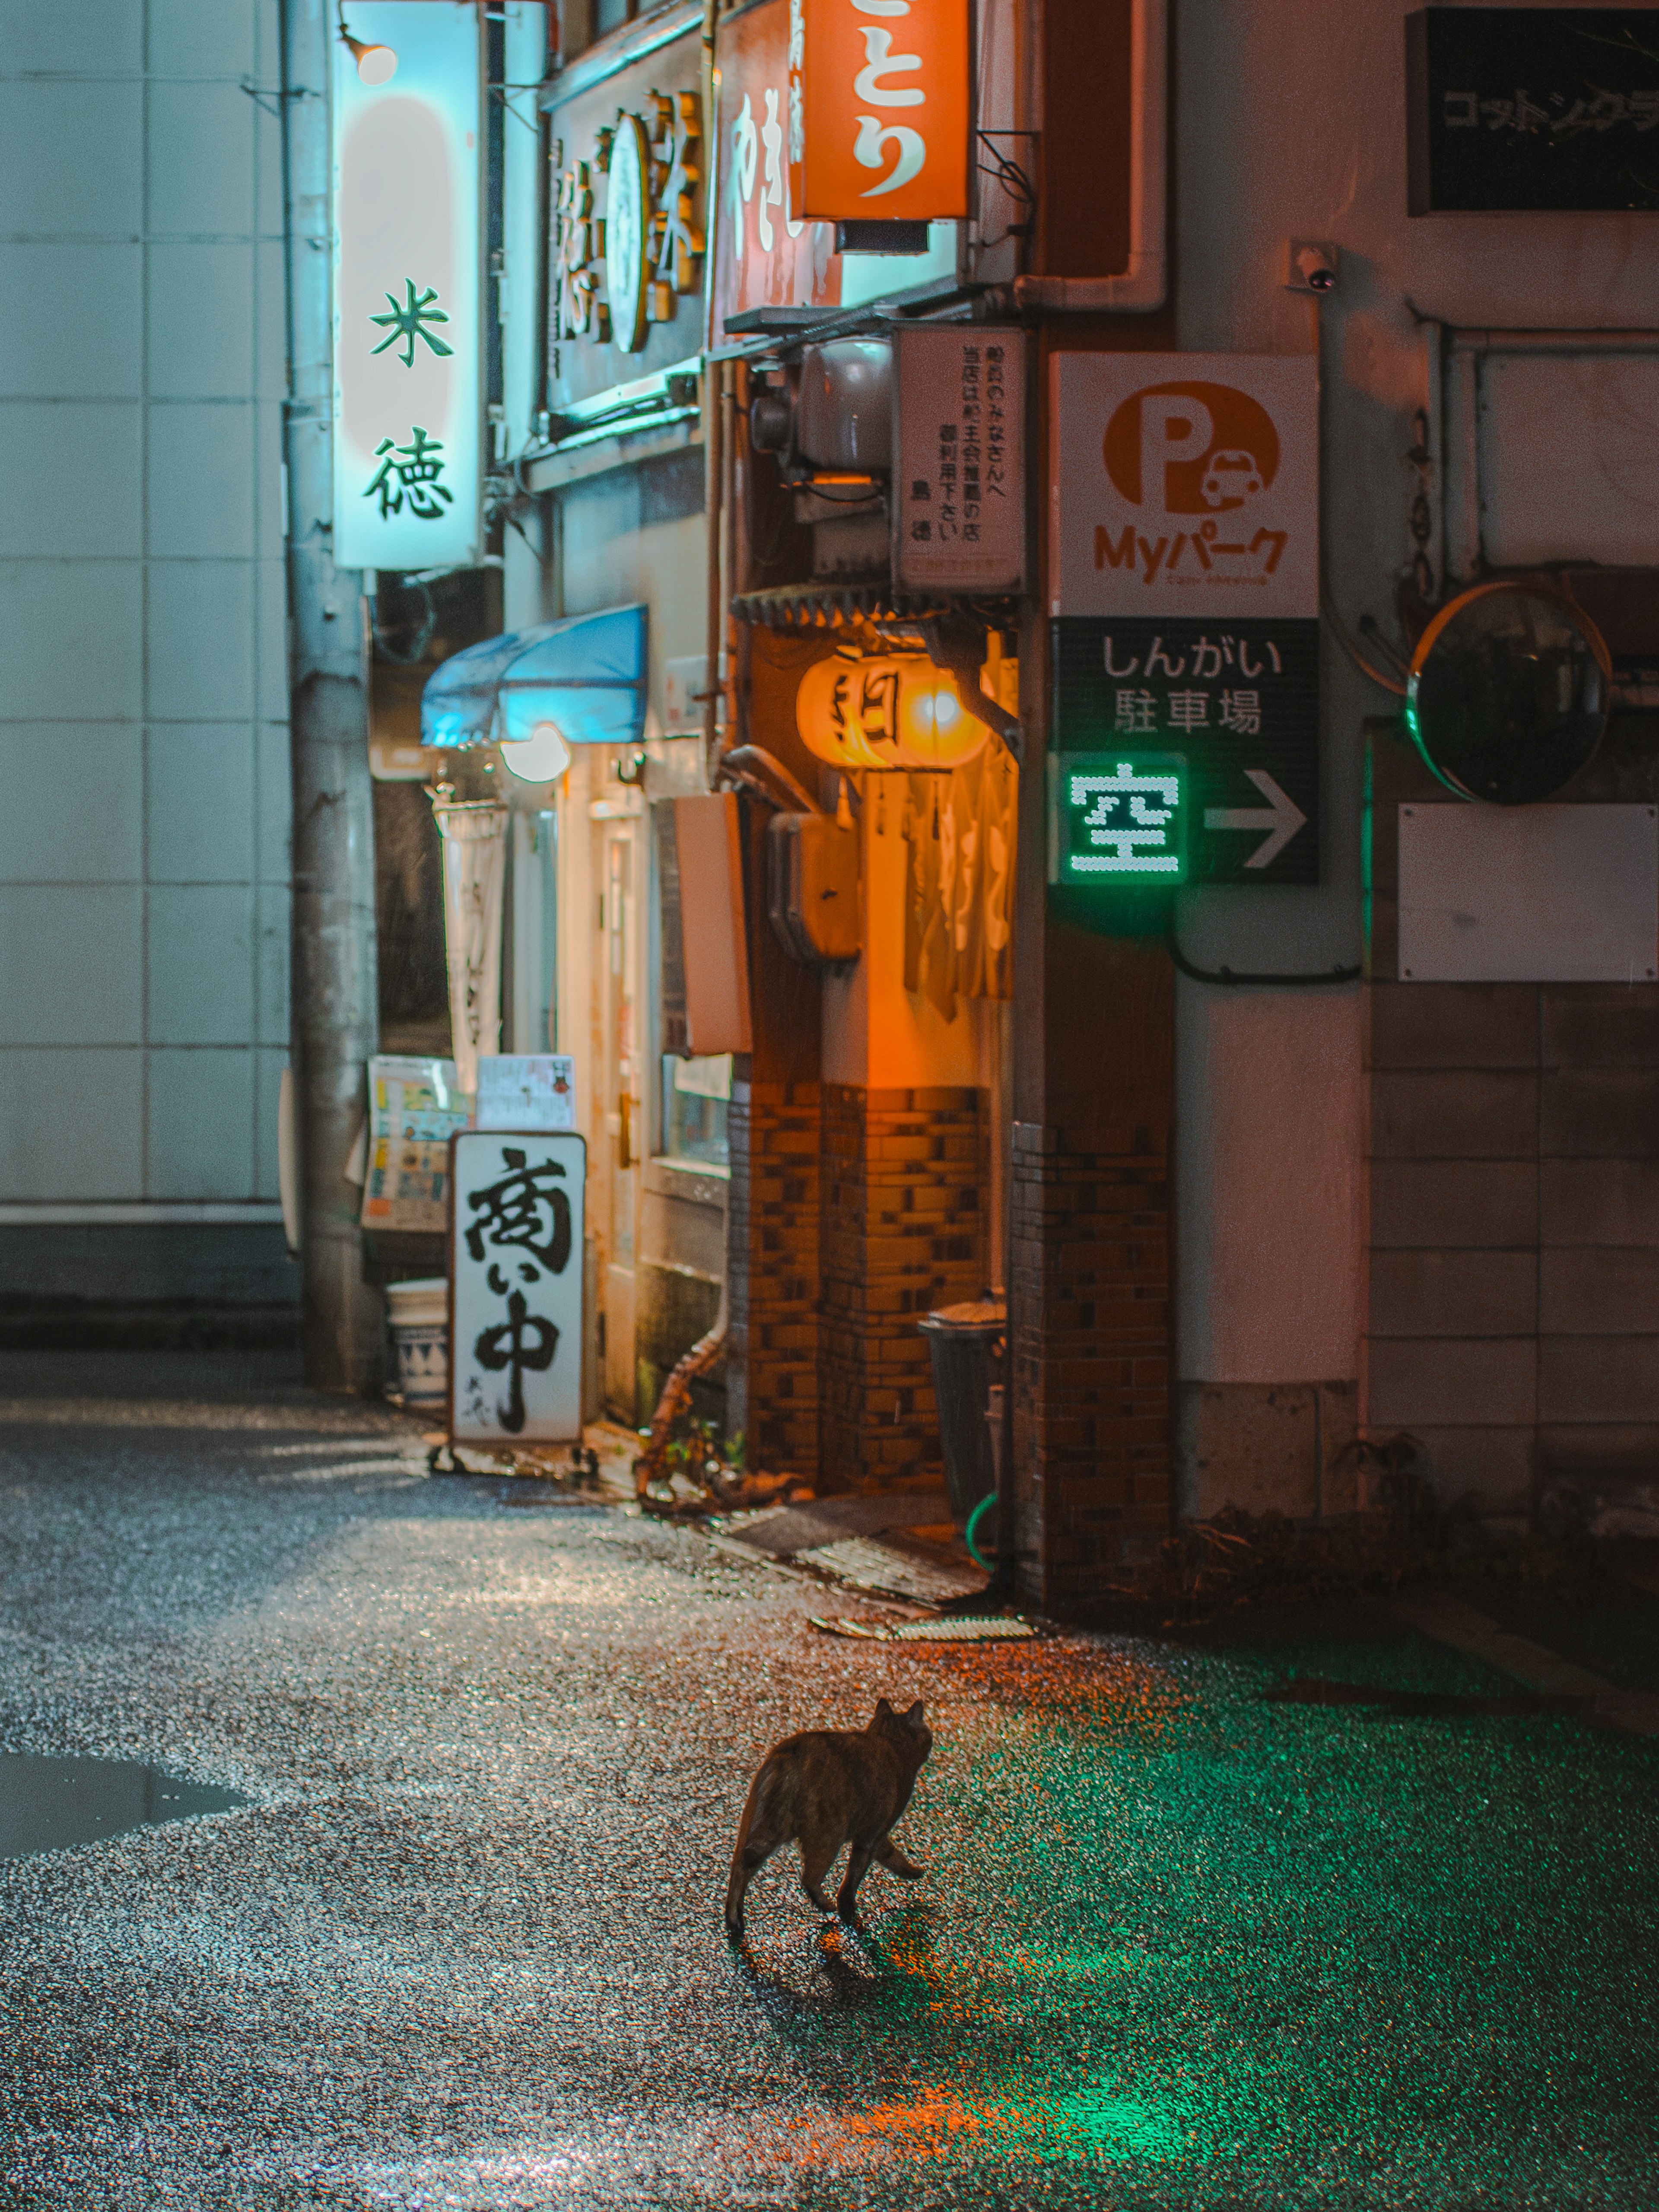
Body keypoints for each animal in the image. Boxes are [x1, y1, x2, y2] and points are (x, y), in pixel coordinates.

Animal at [725, 1699, 938, 1929]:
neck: (887, 1741)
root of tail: (793, 1755)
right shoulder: (872, 1833)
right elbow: (854, 1876)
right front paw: (848, 1910)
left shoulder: (875, 1833)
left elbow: (891, 1855)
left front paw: (911, 1871)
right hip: (829, 1834)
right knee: (809, 1878)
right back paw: (826, 1905)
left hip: (764, 1826)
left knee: (740, 1868)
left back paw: (734, 1920)